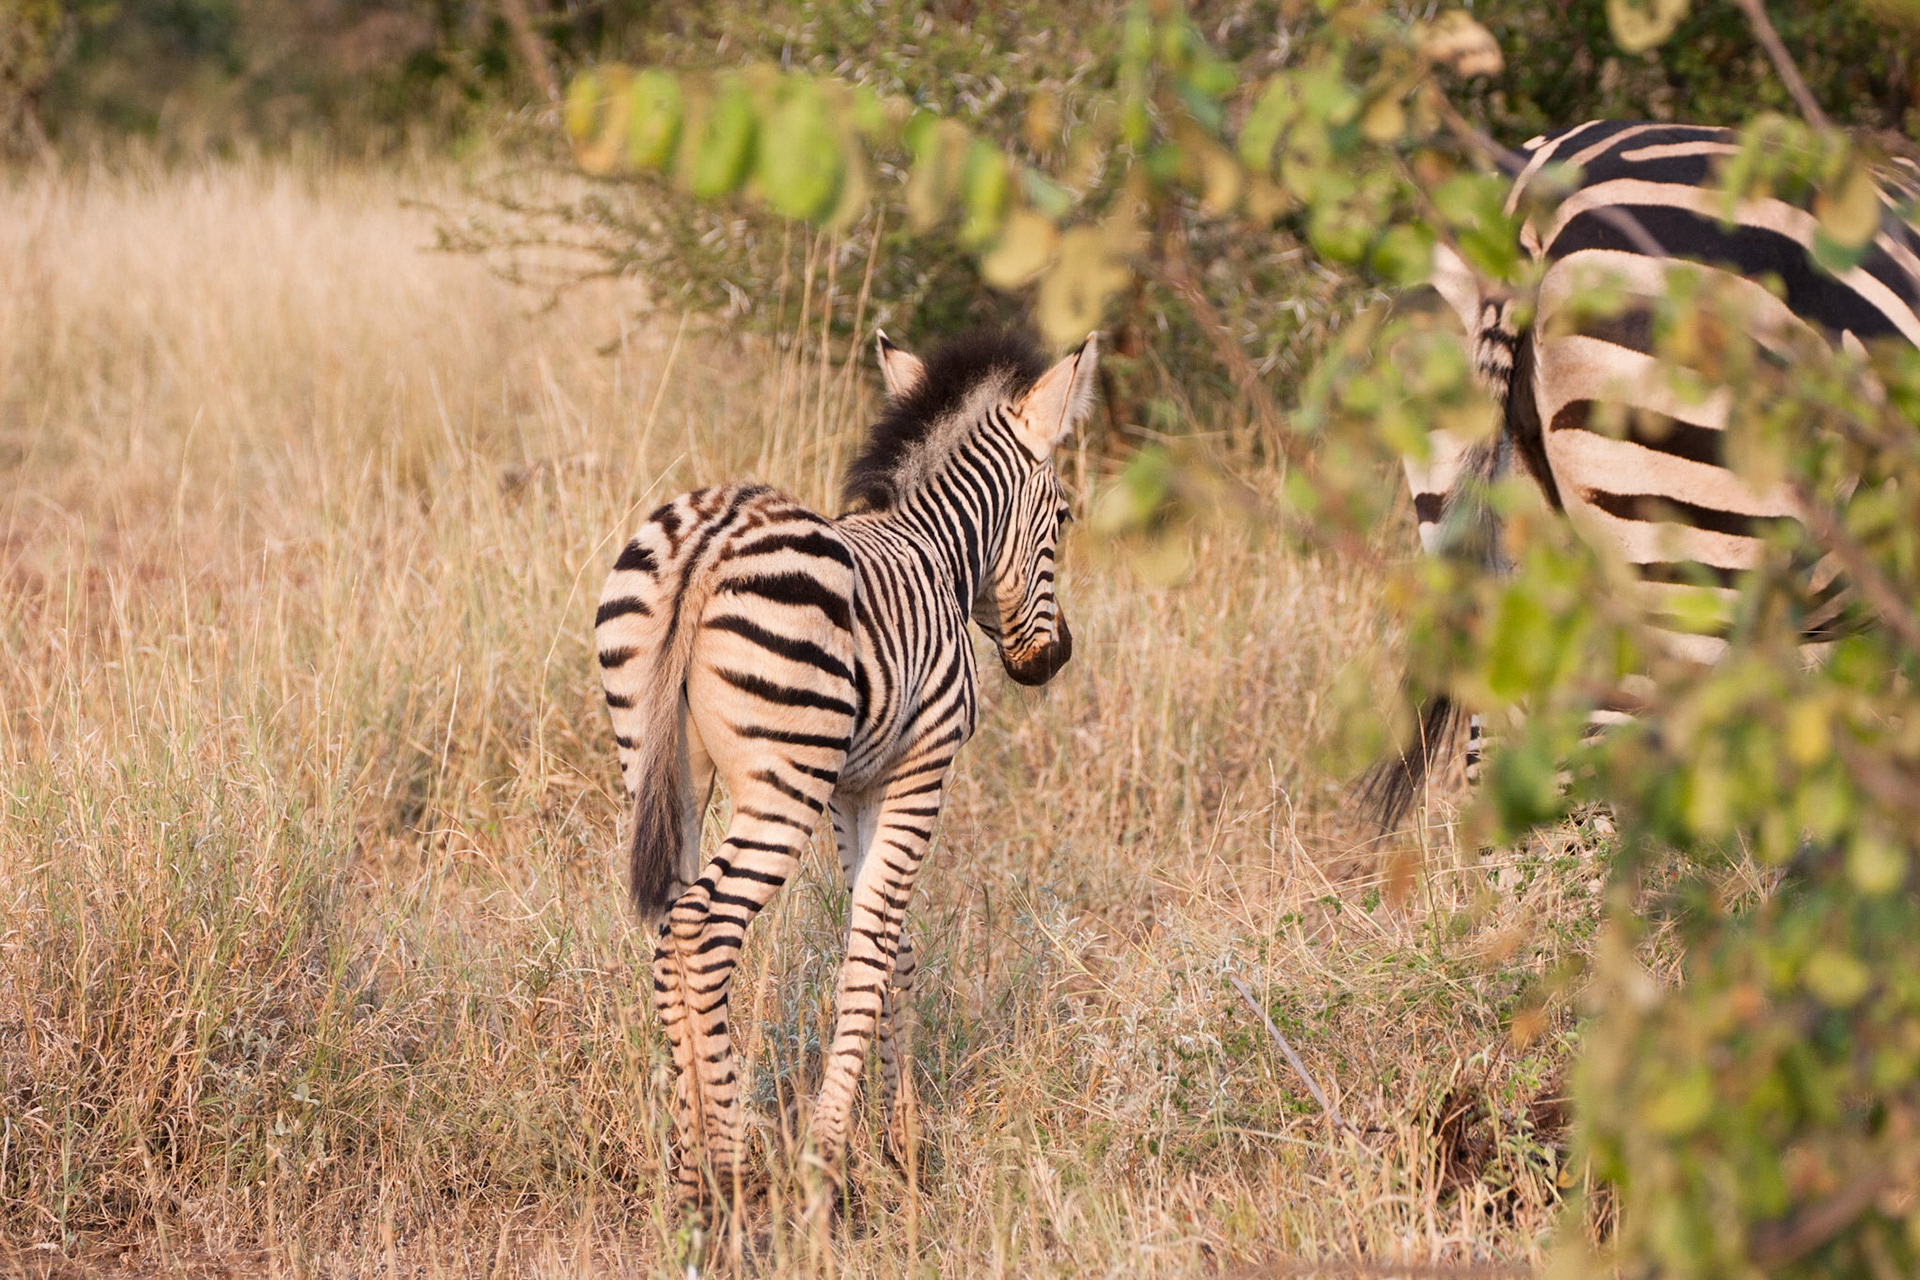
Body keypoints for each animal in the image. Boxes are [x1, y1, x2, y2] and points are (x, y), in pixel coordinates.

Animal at [595, 327, 1097, 1202]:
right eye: (1063, 517)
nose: (1054, 659)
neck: (937, 550)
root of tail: (710, 536)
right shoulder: (919, 770)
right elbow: (869, 950)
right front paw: (831, 1155)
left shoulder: (851, 791)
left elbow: (891, 943)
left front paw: (900, 1144)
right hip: (781, 786)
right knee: (702, 926)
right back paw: (733, 1168)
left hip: (661, 765)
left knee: (667, 928)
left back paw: (687, 1174)